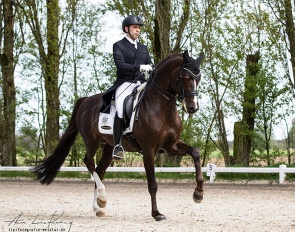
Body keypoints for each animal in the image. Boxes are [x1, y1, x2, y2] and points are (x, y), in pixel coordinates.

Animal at [31, 49, 205, 221]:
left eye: (199, 78)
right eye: (185, 77)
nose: (193, 107)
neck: (161, 107)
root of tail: (86, 101)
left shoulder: (171, 146)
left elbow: (196, 153)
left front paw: (198, 193)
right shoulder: (148, 150)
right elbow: (153, 184)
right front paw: (156, 214)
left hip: (108, 147)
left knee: (99, 170)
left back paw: (98, 207)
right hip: (91, 141)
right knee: (89, 162)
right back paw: (102, 198)